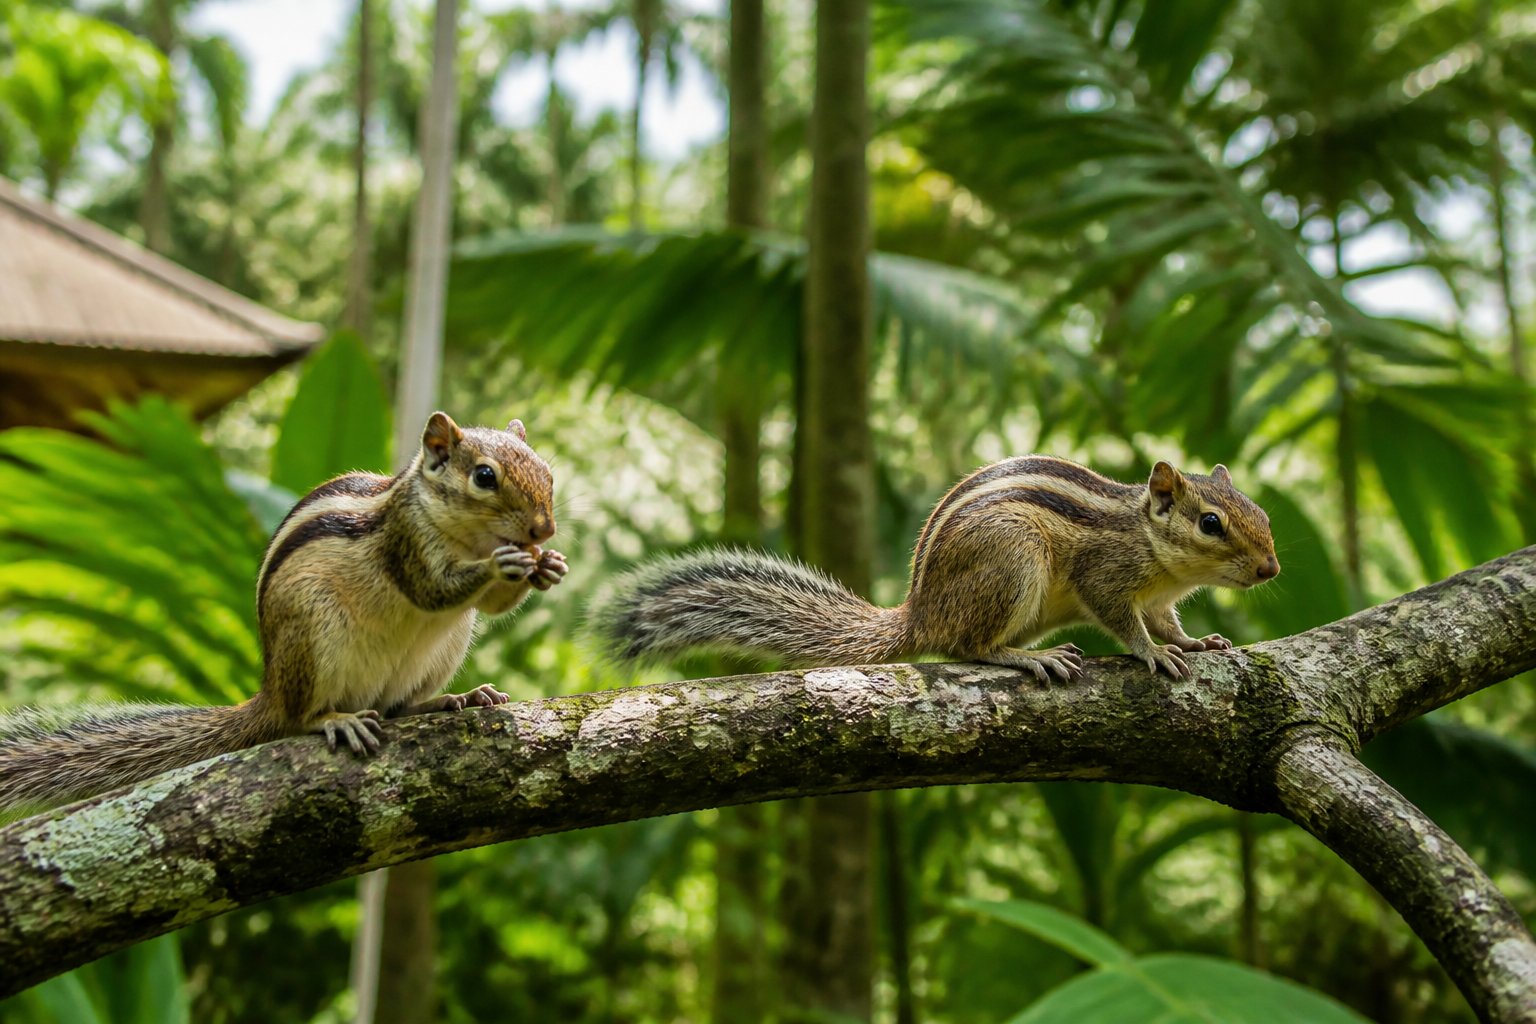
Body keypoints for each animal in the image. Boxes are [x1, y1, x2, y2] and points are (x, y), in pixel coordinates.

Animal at [0, 412, 567, 811]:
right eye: (485, 477)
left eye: (547, 473)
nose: (543, 530)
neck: (466, 536)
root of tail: (271, 690)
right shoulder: (406, 543)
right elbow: (431, 590)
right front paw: (505, 563)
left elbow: (491, 604)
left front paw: (548, 566)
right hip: (315, 635)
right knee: (301, 718)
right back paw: (335, 720)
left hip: (441, 650)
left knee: (396, 707)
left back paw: (455, 699)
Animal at [589, 457, 1278, 680]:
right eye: (1211, 523)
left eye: (1262, 512)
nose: (1271, 570)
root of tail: (918, 614)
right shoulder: (1105, 574)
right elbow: (1125, 621)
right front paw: (1153, 654)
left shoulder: (1160, 597)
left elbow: (1167, 622)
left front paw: (1198, 641)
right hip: (1013, 562)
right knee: (964, 646)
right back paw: (1024, 657)